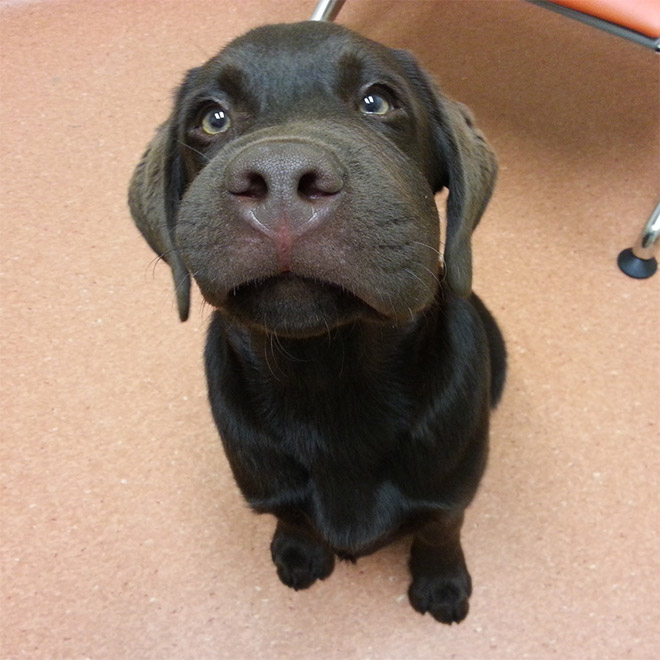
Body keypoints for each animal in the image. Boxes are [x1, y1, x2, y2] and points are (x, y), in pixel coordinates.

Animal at [131, 20, 508, 624]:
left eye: (378, 101)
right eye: (212, 117)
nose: (281, 179)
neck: (329, 374)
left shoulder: (450, 491)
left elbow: (440, 530)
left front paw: (442, 583)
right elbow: (294, 516)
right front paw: (299, 551)